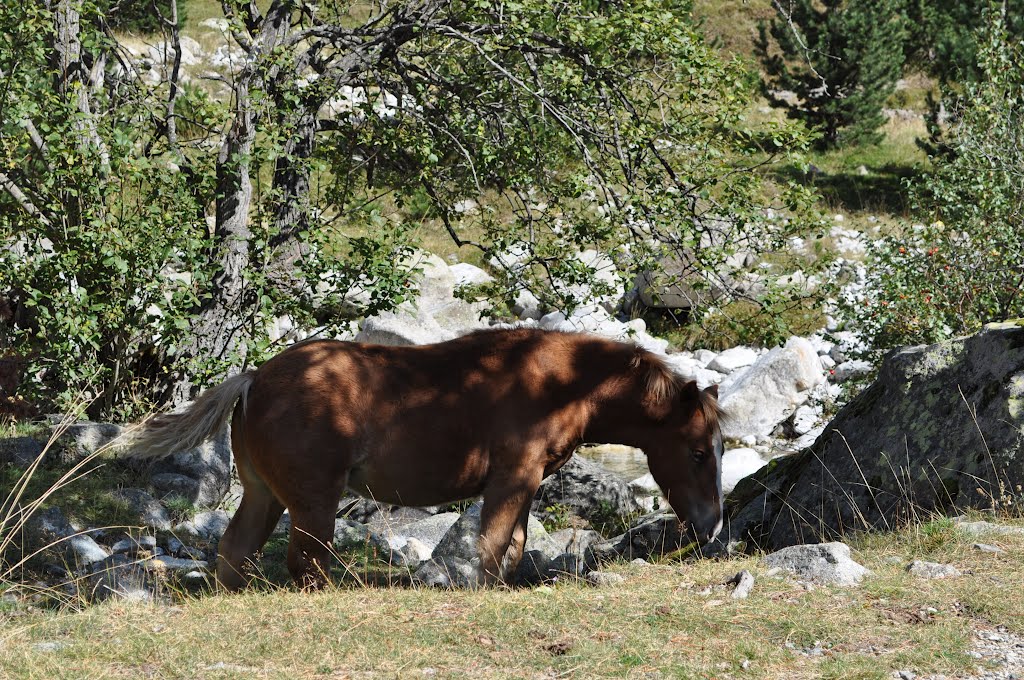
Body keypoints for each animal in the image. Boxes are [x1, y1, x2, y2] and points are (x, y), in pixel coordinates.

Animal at [132, 327, 724, 585]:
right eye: (697, 452)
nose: (711, 525)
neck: (564, 384)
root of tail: (254, 379)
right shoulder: (513, 478)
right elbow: (491, 545)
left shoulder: (529, 483)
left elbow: (513, 547)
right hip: (312, 503)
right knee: (306, 563)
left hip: (264, 495)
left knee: (235, 553)